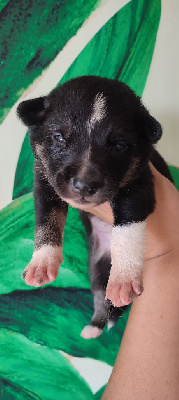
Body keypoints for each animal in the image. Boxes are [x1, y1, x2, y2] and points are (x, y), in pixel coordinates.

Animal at [17, 75, 173, 338]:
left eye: (119, 146)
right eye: (60, 137)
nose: (84, 185)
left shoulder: (139, 187)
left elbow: (127, 229)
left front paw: (124, 278)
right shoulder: (45, 185)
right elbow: (46, 220)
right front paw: (42, 262)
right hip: (97, 268)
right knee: (101, 297)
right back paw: (95, 327)